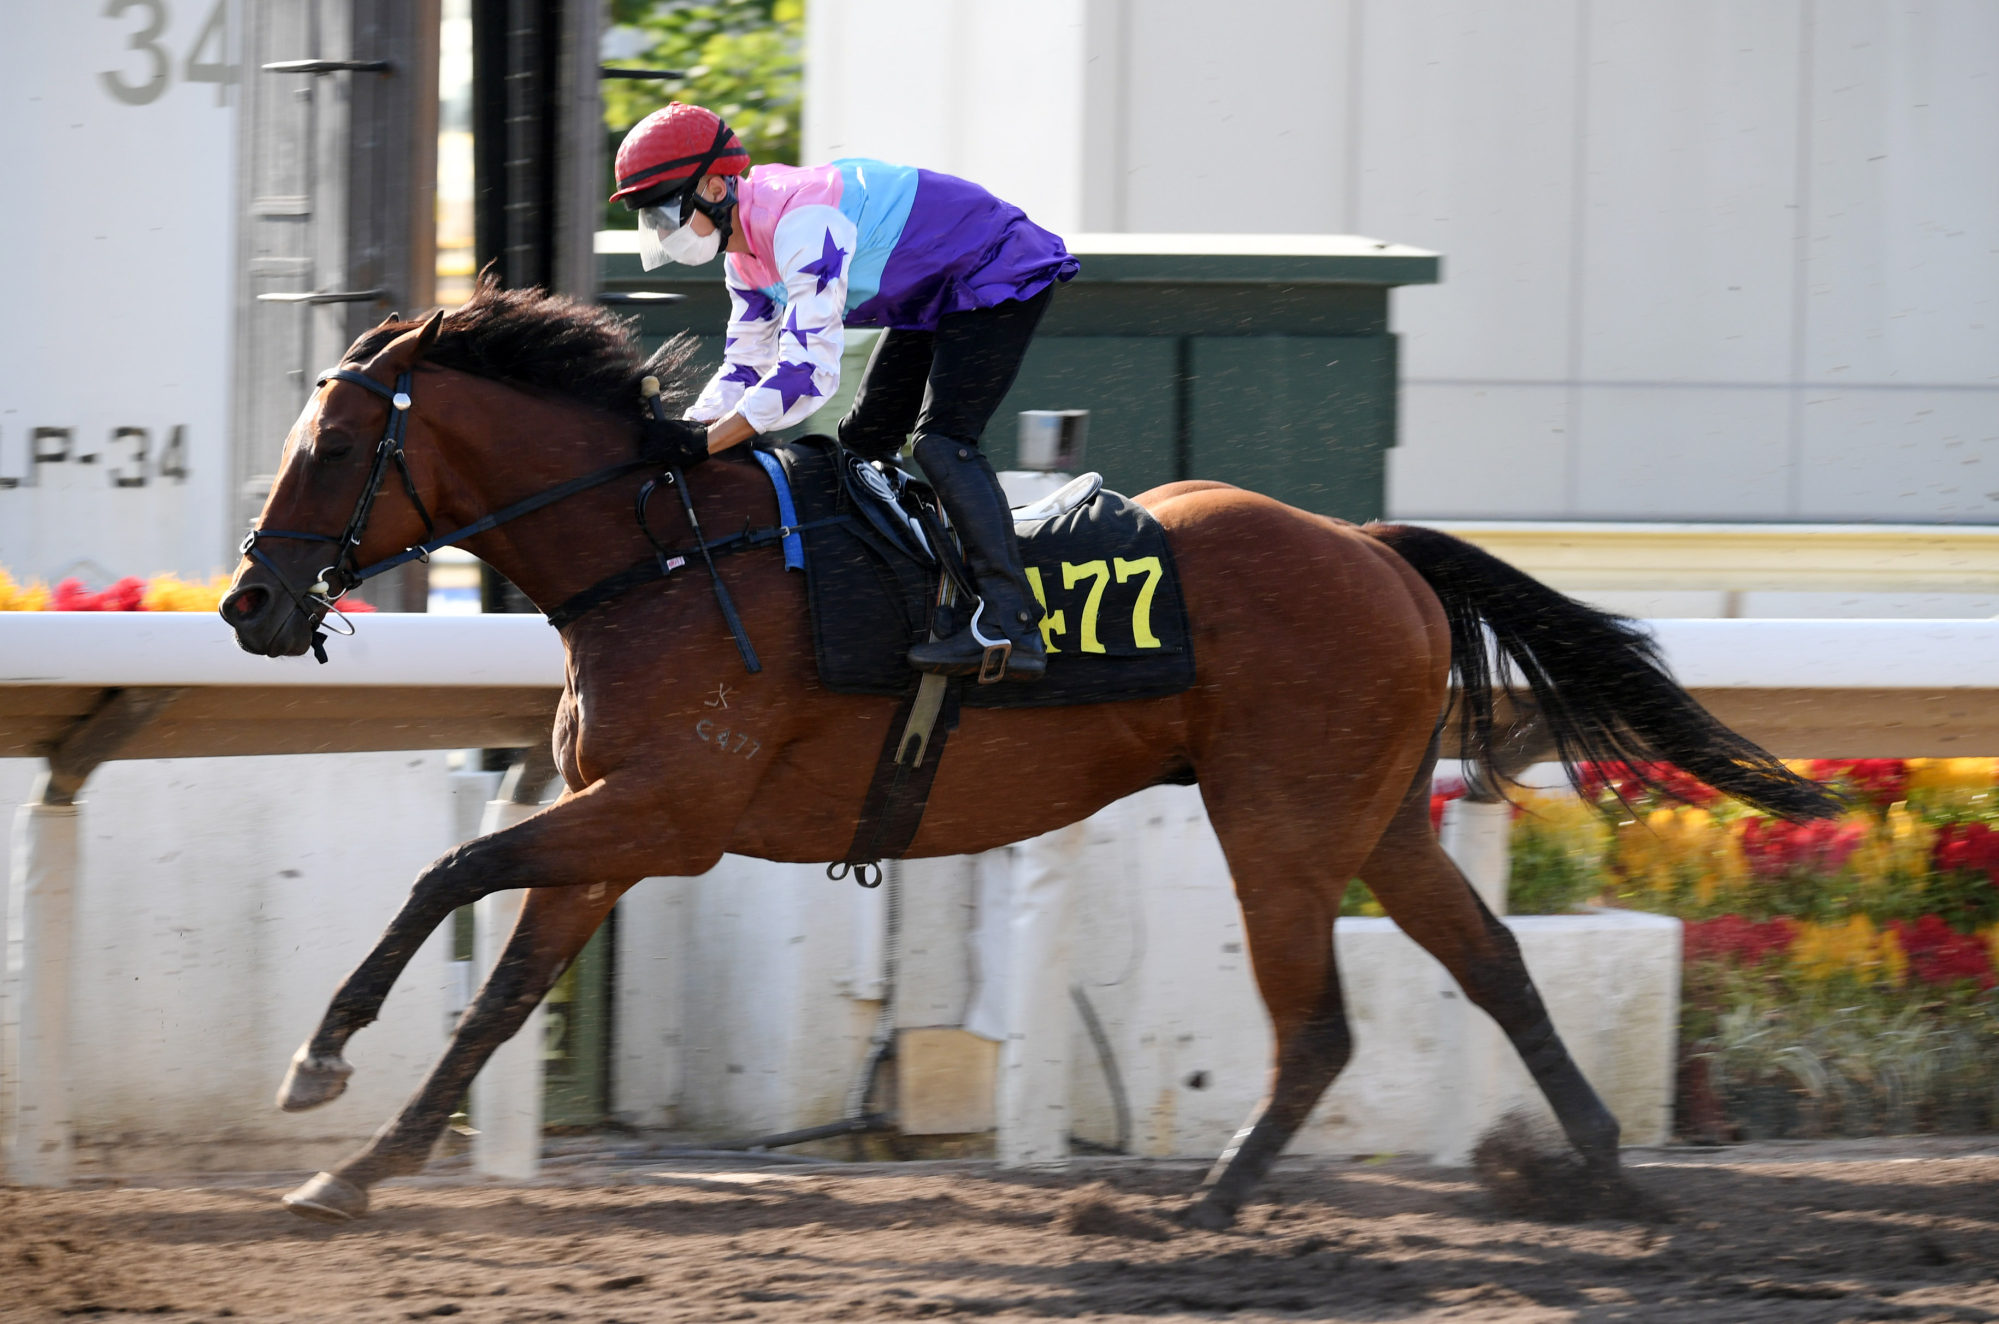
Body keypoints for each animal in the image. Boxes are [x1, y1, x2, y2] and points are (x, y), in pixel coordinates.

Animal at [222, 286, 1839, 1232]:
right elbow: (499, 996)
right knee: (1490, 960)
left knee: (1319, 1023)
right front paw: (351, 1171)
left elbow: (448, 869)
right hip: (1373, 814)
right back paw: (1601, 1169)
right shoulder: (614, 824)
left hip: (1279, 818)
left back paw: (1208, 1204)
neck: (662, 553)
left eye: (328, 449)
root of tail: (1373, 547)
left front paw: (315, 1062)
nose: (250, 604)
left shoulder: (666, 812)